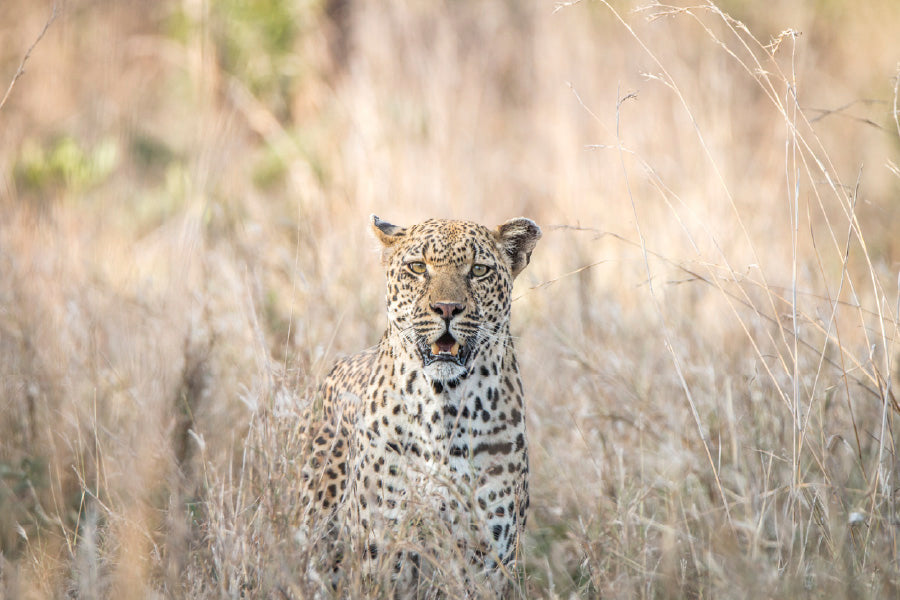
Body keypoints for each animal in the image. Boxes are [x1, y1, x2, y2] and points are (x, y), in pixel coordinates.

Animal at [302, 213, 540, 592]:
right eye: (417, 267)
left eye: (478, 270)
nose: (447, 308)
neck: (445, 405)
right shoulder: (382, 548)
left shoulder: (487, 557)